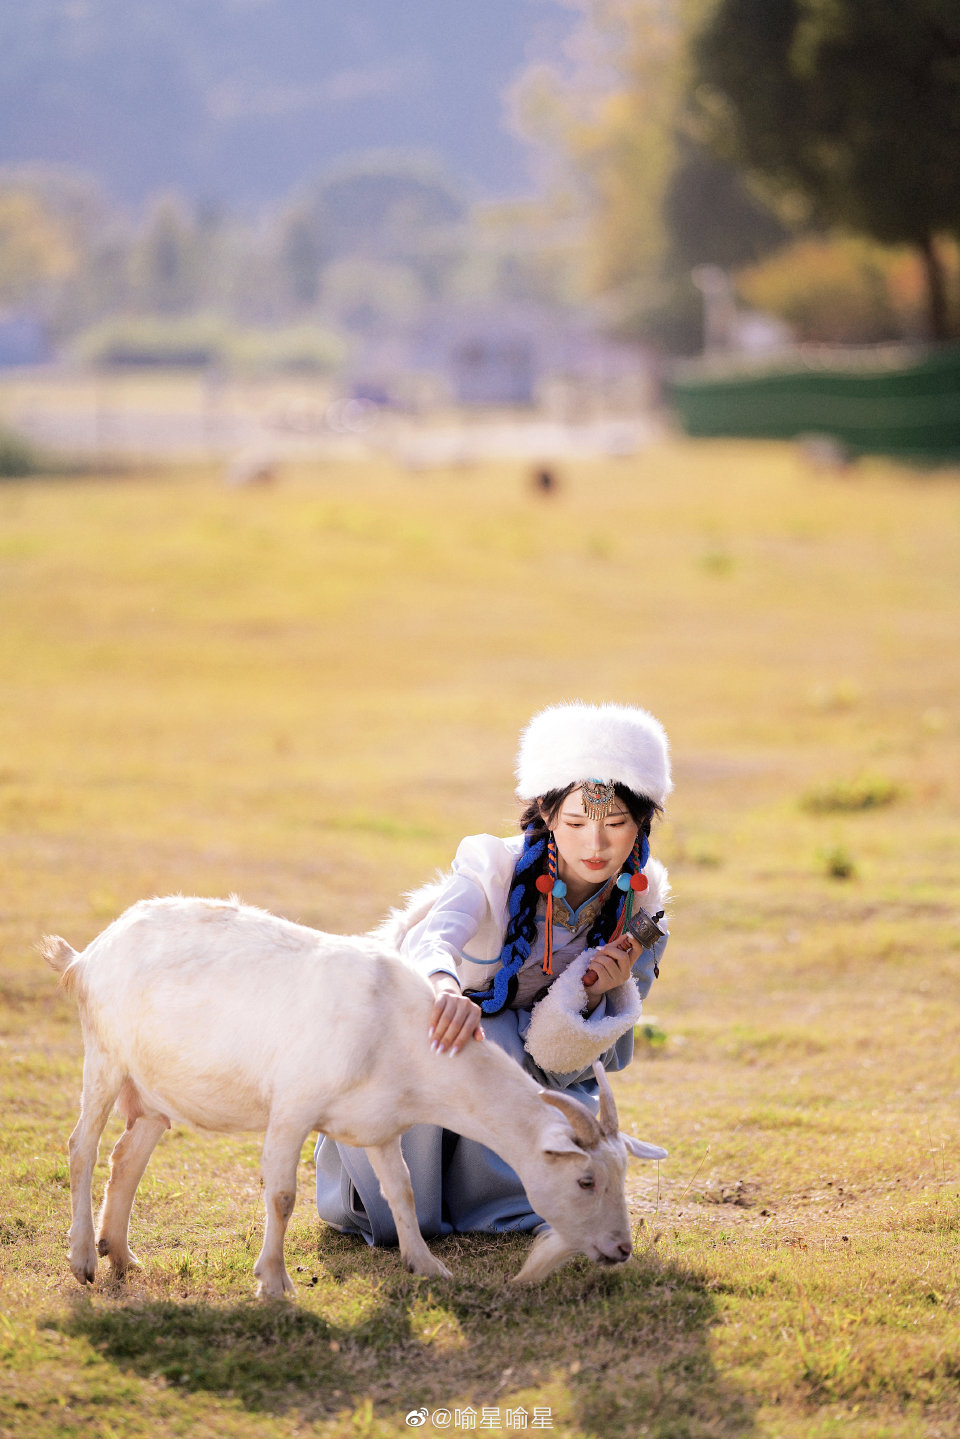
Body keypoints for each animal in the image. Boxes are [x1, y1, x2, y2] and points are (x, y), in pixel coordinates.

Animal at [39, 892, 667, 1300]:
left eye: (621, 1176)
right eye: (585, 1180)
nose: (621, 1249)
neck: (396, 1026)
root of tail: (86, 957)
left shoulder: (379, 1126)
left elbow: (404, 1192)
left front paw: (426, 1266)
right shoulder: (292, 1109)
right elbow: (283, 1195)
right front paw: (274, 1283)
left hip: (153, 1090)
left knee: (127, 1156)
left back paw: (120, 1255)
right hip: (104, 1057)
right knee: (82, 1148)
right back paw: (83, 1260)